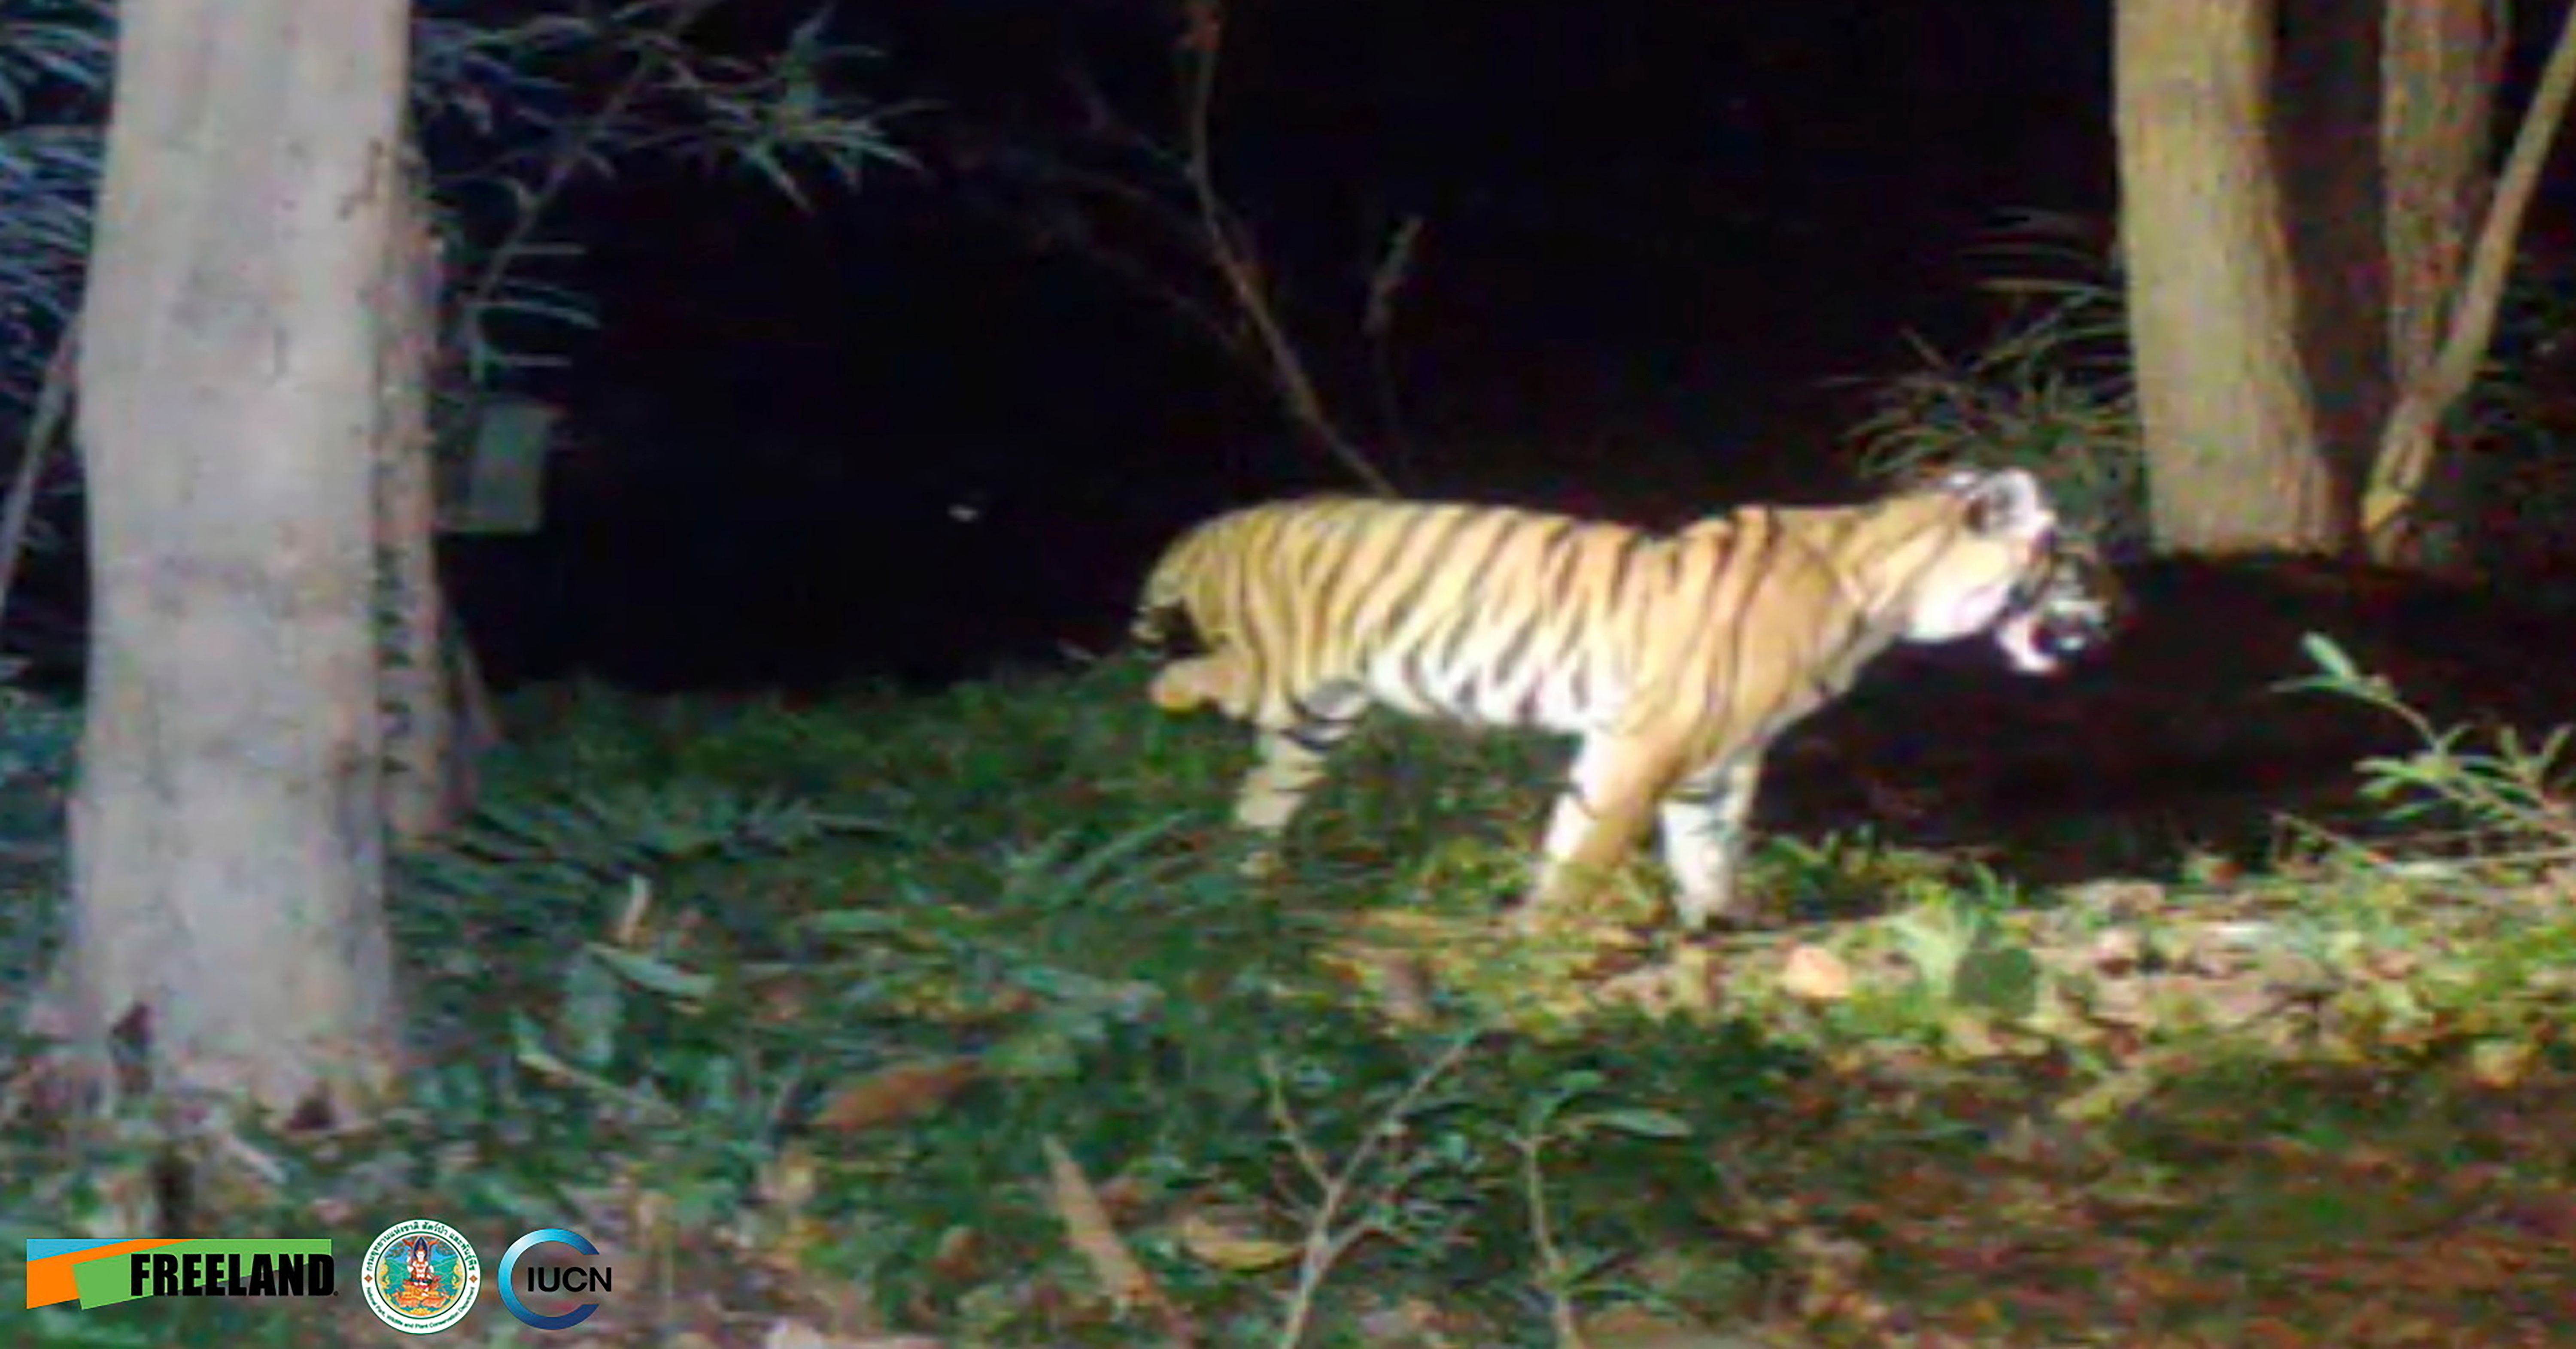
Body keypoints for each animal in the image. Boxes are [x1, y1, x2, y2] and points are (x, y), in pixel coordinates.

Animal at [1129, 466, 2121, 931]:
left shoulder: (1720, 754)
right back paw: (1170, 698)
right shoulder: (1648, 735)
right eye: (2079, 562)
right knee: (1186, 677)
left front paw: (1720, 923)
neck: (1885, 595)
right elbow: (1590, 842)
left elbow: (1709, 843)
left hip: (1316, 722)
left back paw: (1230, 887)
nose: (2126, 606)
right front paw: (1543, 939)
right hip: (1283, 679)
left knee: (1258, 805)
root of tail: (1214, 522)